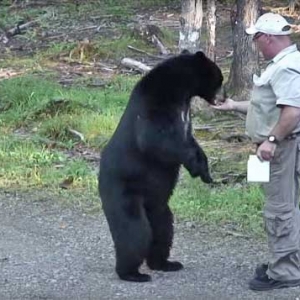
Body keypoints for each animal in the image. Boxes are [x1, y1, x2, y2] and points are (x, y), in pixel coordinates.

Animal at [98, 50, 223, 282]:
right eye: (220, 78)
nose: (224, 97)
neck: (181, 88)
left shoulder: (184, 111)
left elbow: (189, 138)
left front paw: (205, 171)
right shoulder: (157, 99)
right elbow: (156, 137)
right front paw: (194, 165)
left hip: (158, 206)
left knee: (163, 229)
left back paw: (166, 263)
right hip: (123, 192)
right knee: (134, 231)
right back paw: (132, 273)